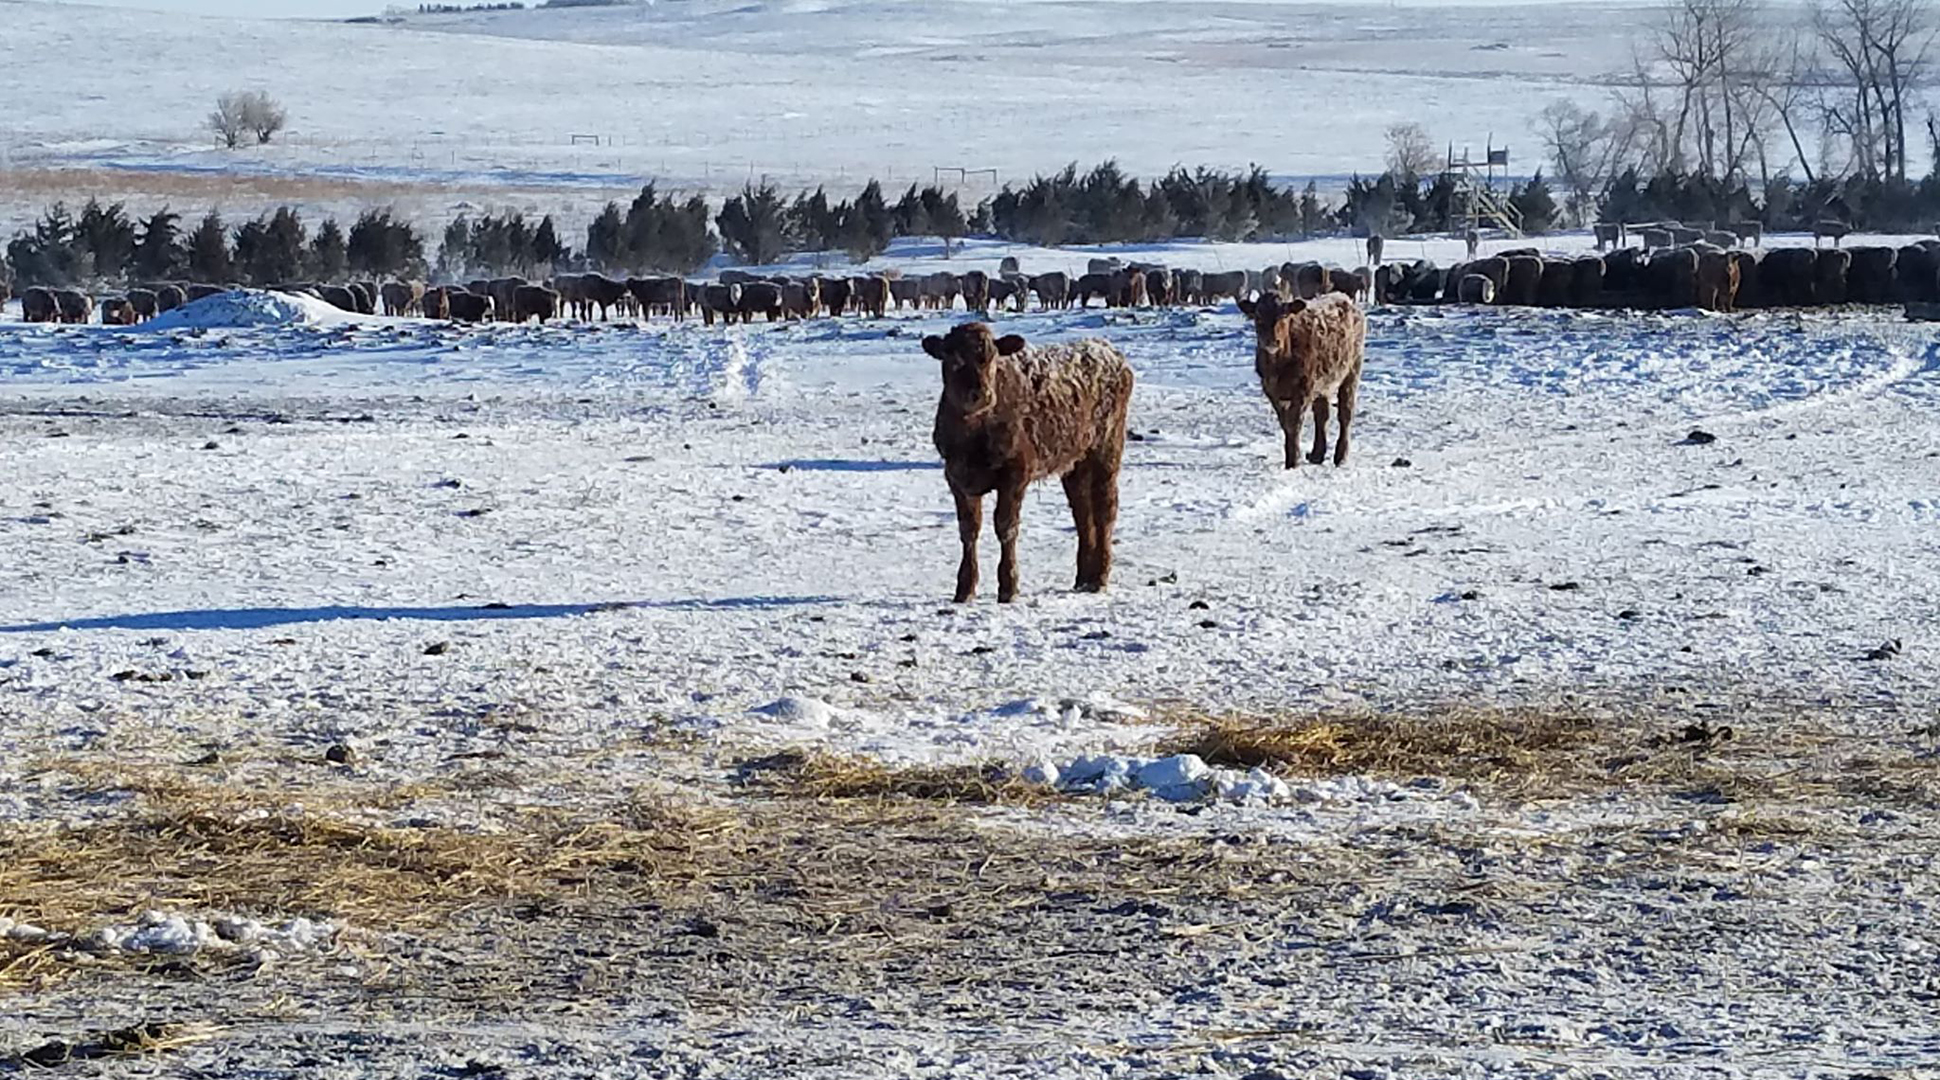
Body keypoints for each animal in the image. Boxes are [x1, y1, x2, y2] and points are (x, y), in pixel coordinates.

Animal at [927, 319, 1132, 604]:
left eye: (992, 357)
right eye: (952, 358)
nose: (980, 393)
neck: (972, 436)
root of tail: (1107, 350)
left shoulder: (1016, 473)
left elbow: (1006, 527)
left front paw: (1008, 587)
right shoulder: (956, 477)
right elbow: (969, 530)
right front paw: (965, 588)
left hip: (1107, 450)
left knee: (1105, 510)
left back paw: (1099, 577)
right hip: (1074, 463)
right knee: (1082, 513)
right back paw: (1083, 578)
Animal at [1241, 290, 1365, 467]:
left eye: (1284, 315)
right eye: (1258, 316)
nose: (1271, 341)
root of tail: (1343, 297)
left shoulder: (1304, 389)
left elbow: (1294, 424)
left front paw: (1293, 461)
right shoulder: (1271, 391)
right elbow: (1285, 424)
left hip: (1352, 370)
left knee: (1345, 414)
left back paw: (1341, 456)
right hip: (1324, 383)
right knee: (1322, 415)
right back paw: (1317, 454)